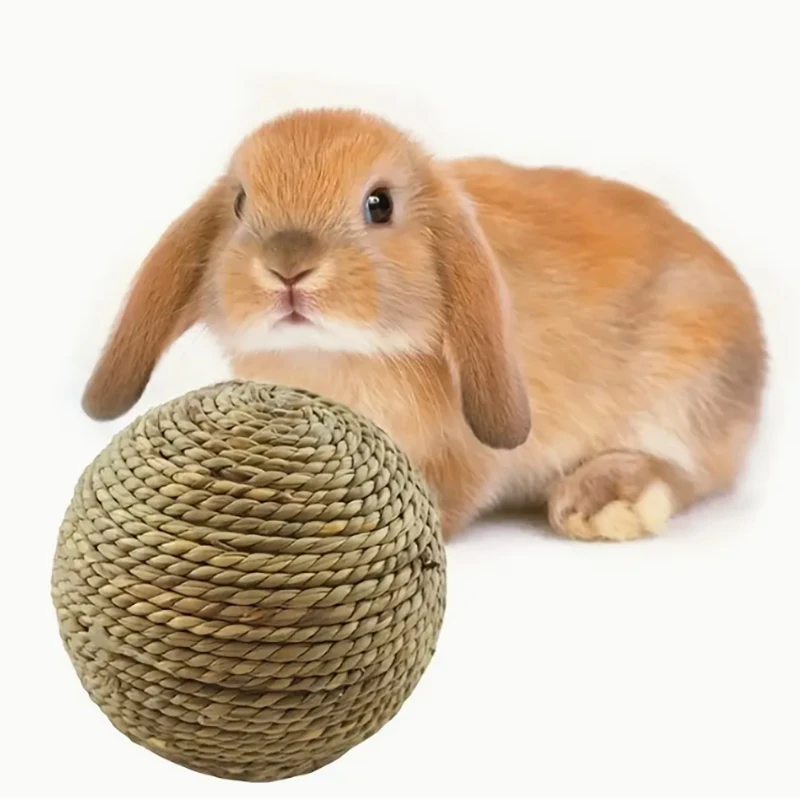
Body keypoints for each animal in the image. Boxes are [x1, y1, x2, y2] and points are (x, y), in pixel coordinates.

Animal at [82, 107, 766, 542]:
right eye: (241, 203)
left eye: (379, 205)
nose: (288, 267)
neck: (334, 357)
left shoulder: (461, 454)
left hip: (686, 383)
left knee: (690, 472)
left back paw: (604, 502)